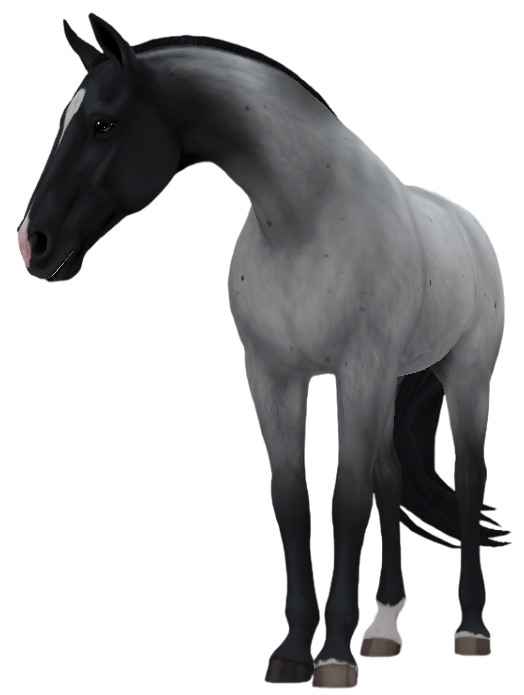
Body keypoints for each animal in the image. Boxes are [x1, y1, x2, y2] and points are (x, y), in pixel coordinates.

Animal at [17, 14, 508, 689]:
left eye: (104, 123)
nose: (32, 243)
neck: (306, 222)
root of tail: (464, 221)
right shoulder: (273, 376)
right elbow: (292, 499)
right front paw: (294, 650)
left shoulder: (357, 370)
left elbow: (347, 498)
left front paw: (334, 655)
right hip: (387, 383)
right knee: (389, 477)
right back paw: (384, 628)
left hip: (464, 377)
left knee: (464, 480)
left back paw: (471, 629)